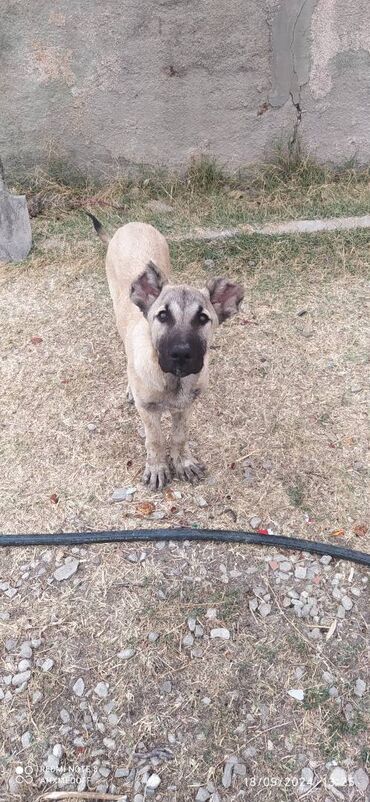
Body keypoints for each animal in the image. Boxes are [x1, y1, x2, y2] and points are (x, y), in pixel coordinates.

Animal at [88, 214, 244, 488]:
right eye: (162, 316)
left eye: (203, 318)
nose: (181, 354)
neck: (173, 380)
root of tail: (130, 225)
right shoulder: (148, 410)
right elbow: (155, 440)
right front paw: (158, 468)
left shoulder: (186, 406)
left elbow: (180, 436)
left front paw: (183, 462)